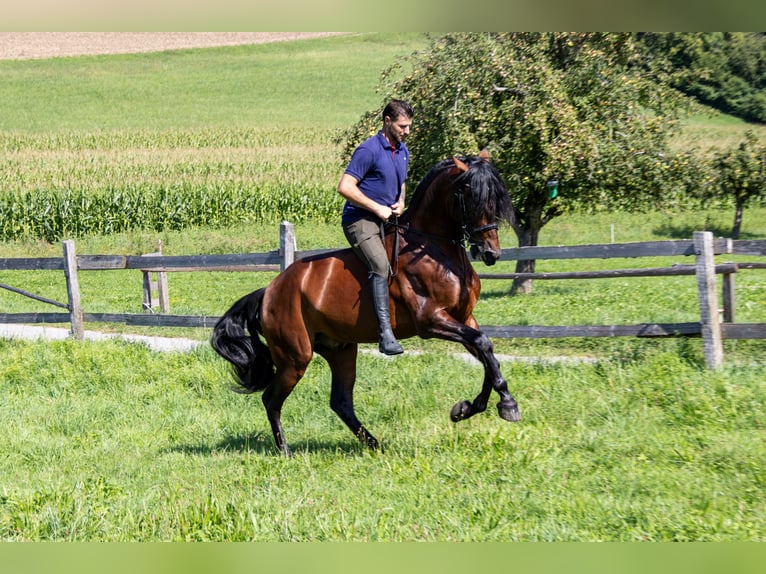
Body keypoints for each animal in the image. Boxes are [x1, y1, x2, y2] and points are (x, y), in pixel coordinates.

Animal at [210, 151, 520, 456]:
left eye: (496, 197)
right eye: (472, 196)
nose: (490, 253)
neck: (435, 249)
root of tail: (270, 291)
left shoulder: (464, 318)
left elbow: (487, 352)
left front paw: (471, 408)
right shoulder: (432, 320)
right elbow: (483, 346)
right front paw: (503, 404)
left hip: (341, 350)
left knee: (340, 401)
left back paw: (374, 444)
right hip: (295, 357)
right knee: (271, 399)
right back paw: (286, 451)